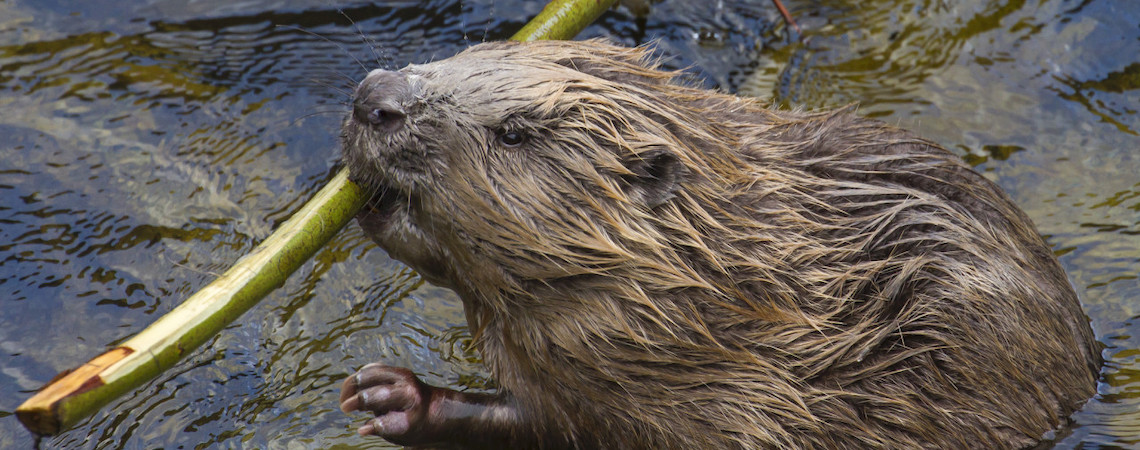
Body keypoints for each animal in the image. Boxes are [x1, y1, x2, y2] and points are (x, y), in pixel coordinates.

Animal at [337, 40, 1103, 448]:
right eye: (468, 53)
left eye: (516, 131)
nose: (375, 98)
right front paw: (377, 392)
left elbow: (549, 423)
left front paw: (387, 395)